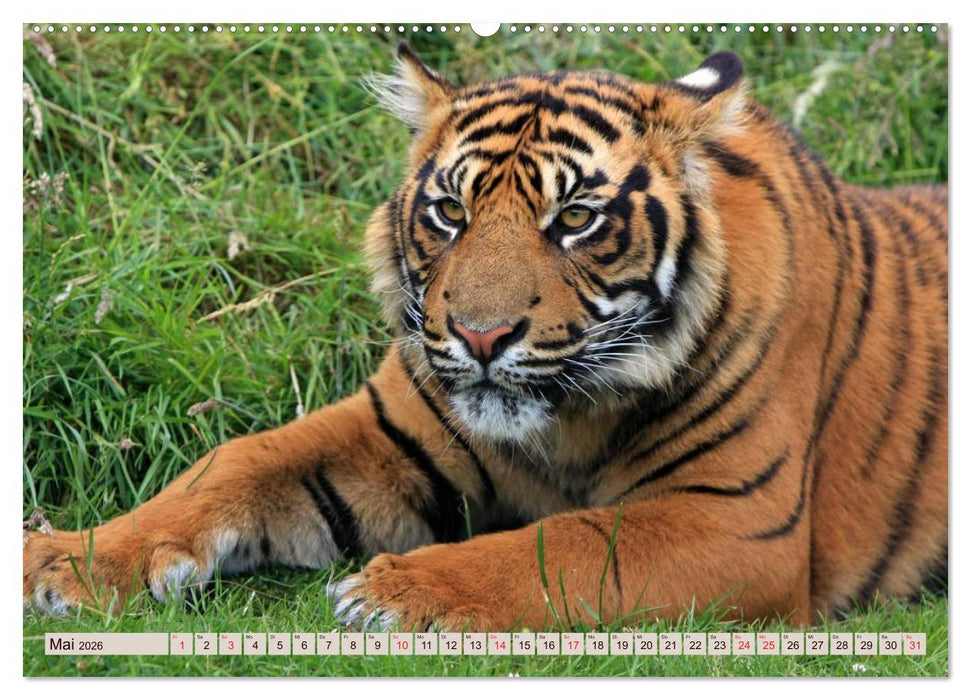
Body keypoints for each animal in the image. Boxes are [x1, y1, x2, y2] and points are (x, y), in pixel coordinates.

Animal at [23, 43, 948, 632]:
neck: (567, 423)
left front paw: (394, 593)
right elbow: (234, 461)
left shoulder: (737, 520)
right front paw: (67, 560)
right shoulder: (387, 431)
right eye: (449, 211)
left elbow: (563, 544)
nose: (479, 334)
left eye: (573, 219)